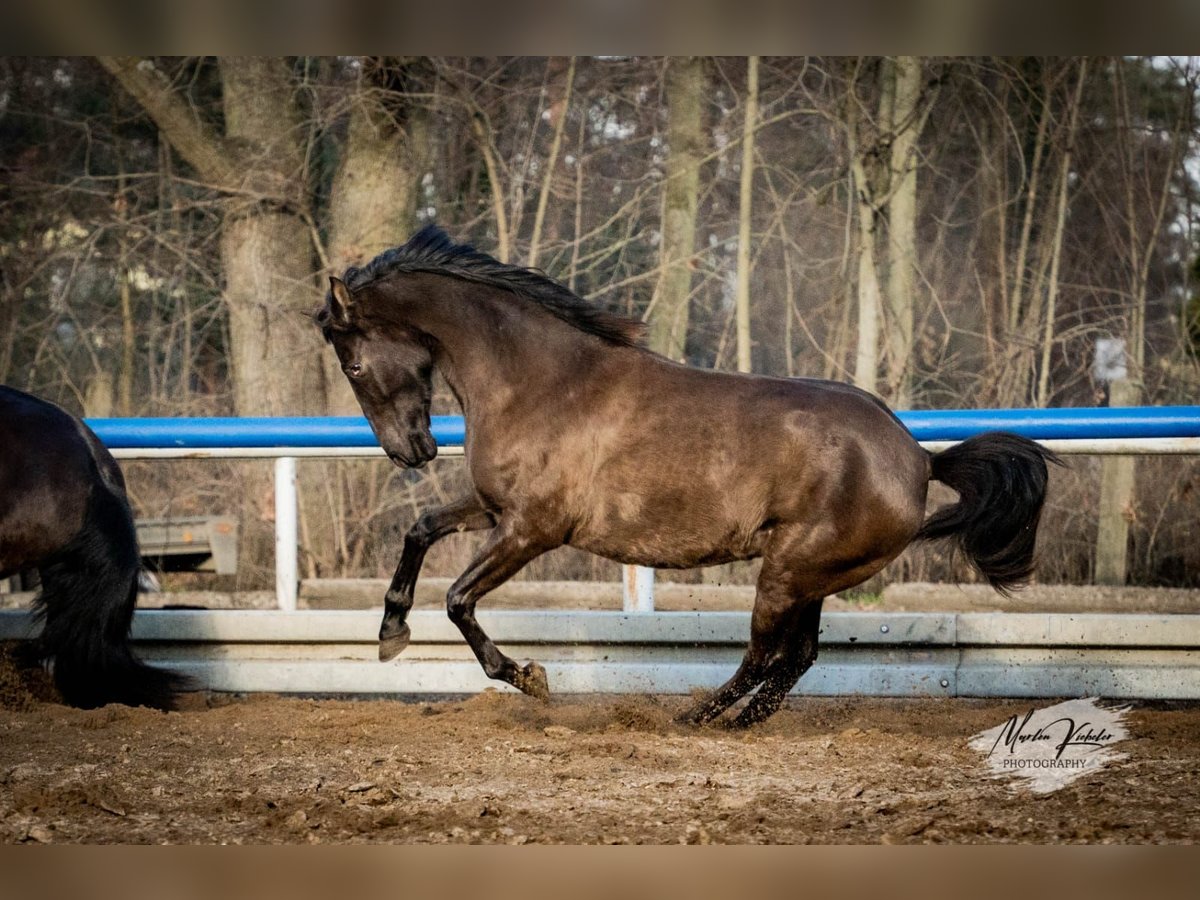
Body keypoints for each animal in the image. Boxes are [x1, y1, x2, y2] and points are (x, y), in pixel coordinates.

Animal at [314, 229, 1056, 729]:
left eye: (352, 366)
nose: (411, 452)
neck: (542, 382)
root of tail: (920, 458)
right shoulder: (496, 510)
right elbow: (420, 530)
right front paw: (390, 633)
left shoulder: (532, 529)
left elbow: (459, 600)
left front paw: (527, 677)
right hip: (810, 577)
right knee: (797, 657)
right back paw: (739, 723)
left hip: (787, 571)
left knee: (766, 655)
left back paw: (696, 719)